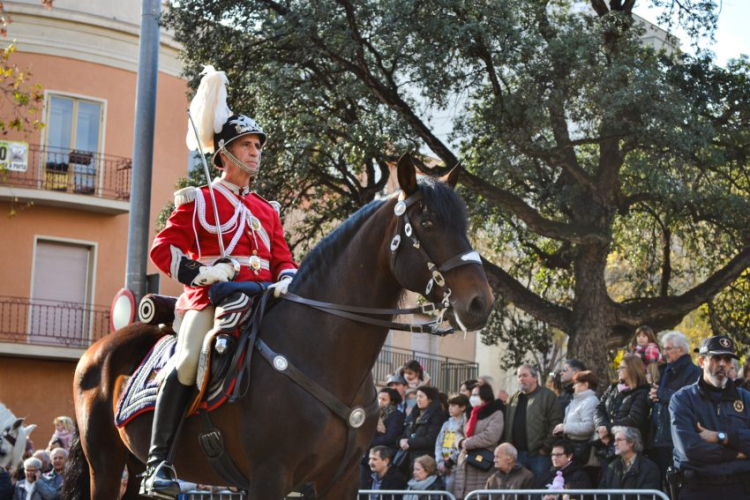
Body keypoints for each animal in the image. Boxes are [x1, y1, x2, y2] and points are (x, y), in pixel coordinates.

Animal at [64, 154, 496, 498]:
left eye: (463, 224)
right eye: (427, 220)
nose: (481, 302)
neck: (322, 352)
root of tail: (98, 349)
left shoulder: (340, 482)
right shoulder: (270, 476)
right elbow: (162, 247)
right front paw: (216, 272)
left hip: (130, 465)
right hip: (105, 465)